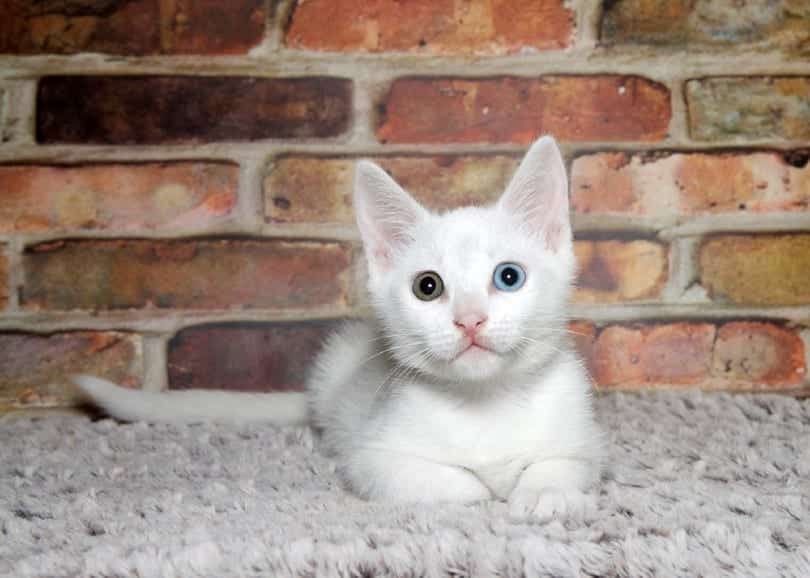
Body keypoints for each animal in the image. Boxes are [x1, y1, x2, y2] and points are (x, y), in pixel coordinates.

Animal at [74, 136, 600, 516]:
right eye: (428, 286)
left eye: (509, 277)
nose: (469, 319)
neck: (484, 403)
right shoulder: (375, 459)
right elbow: (453, 482)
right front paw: (486, 491)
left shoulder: (584, 441)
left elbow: (561, 465)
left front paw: (543, 494)